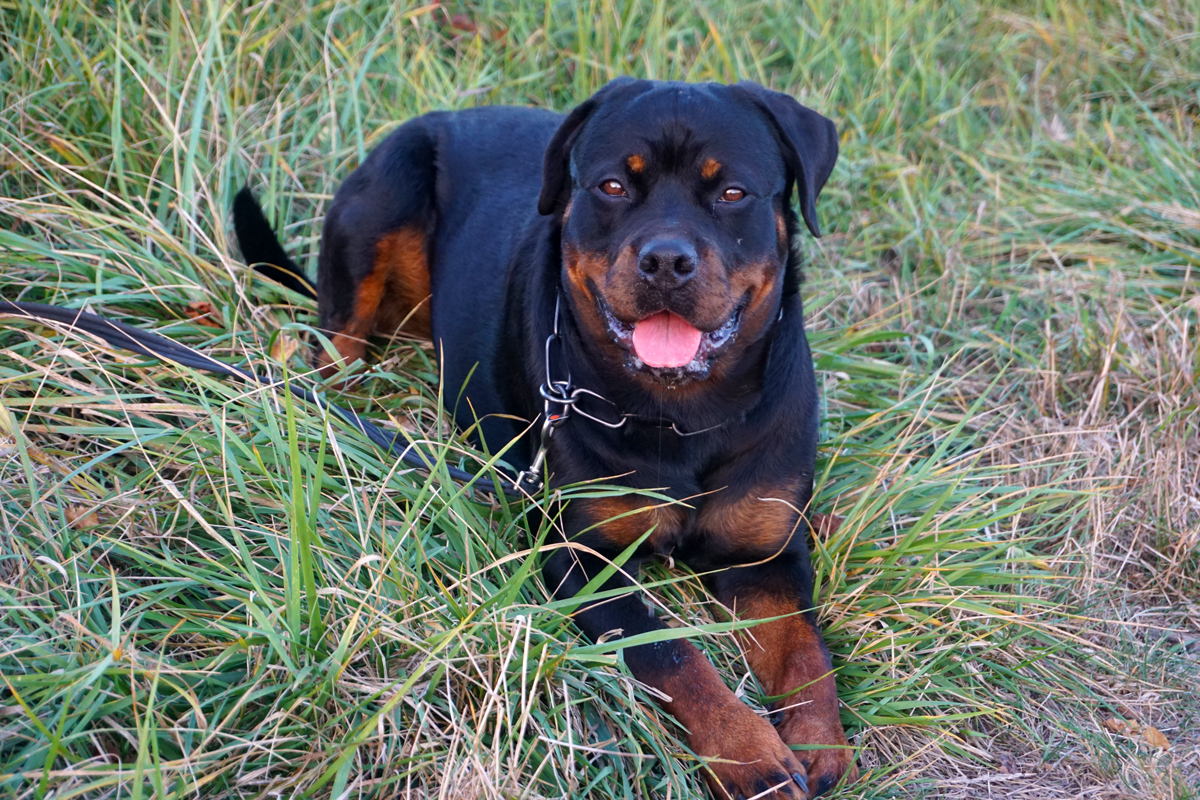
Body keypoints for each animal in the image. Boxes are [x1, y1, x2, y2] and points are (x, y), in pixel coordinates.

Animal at [236, 77, 854, 796]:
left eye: (732, 193)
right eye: (612, 186)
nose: (666, 260)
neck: (681, 413)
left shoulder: (766, 557)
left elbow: (805, 650)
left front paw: (819, 741)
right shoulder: (583, 559)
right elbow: (672, 655)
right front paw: (750, 754)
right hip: (380, 210)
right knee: (336, 346)